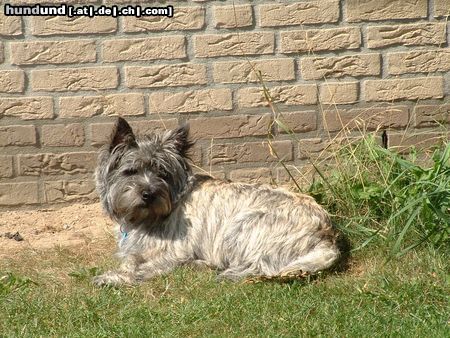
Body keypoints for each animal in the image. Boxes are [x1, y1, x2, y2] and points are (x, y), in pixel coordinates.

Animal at [94, 117, 342, 286]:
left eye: (162, 174)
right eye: (131, 171)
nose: (149, 194)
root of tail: (327, 233)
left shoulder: (173, 251)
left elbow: (141, 266)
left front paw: (113, 277)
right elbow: (131, 258)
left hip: (243, 225)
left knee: (260, 266)